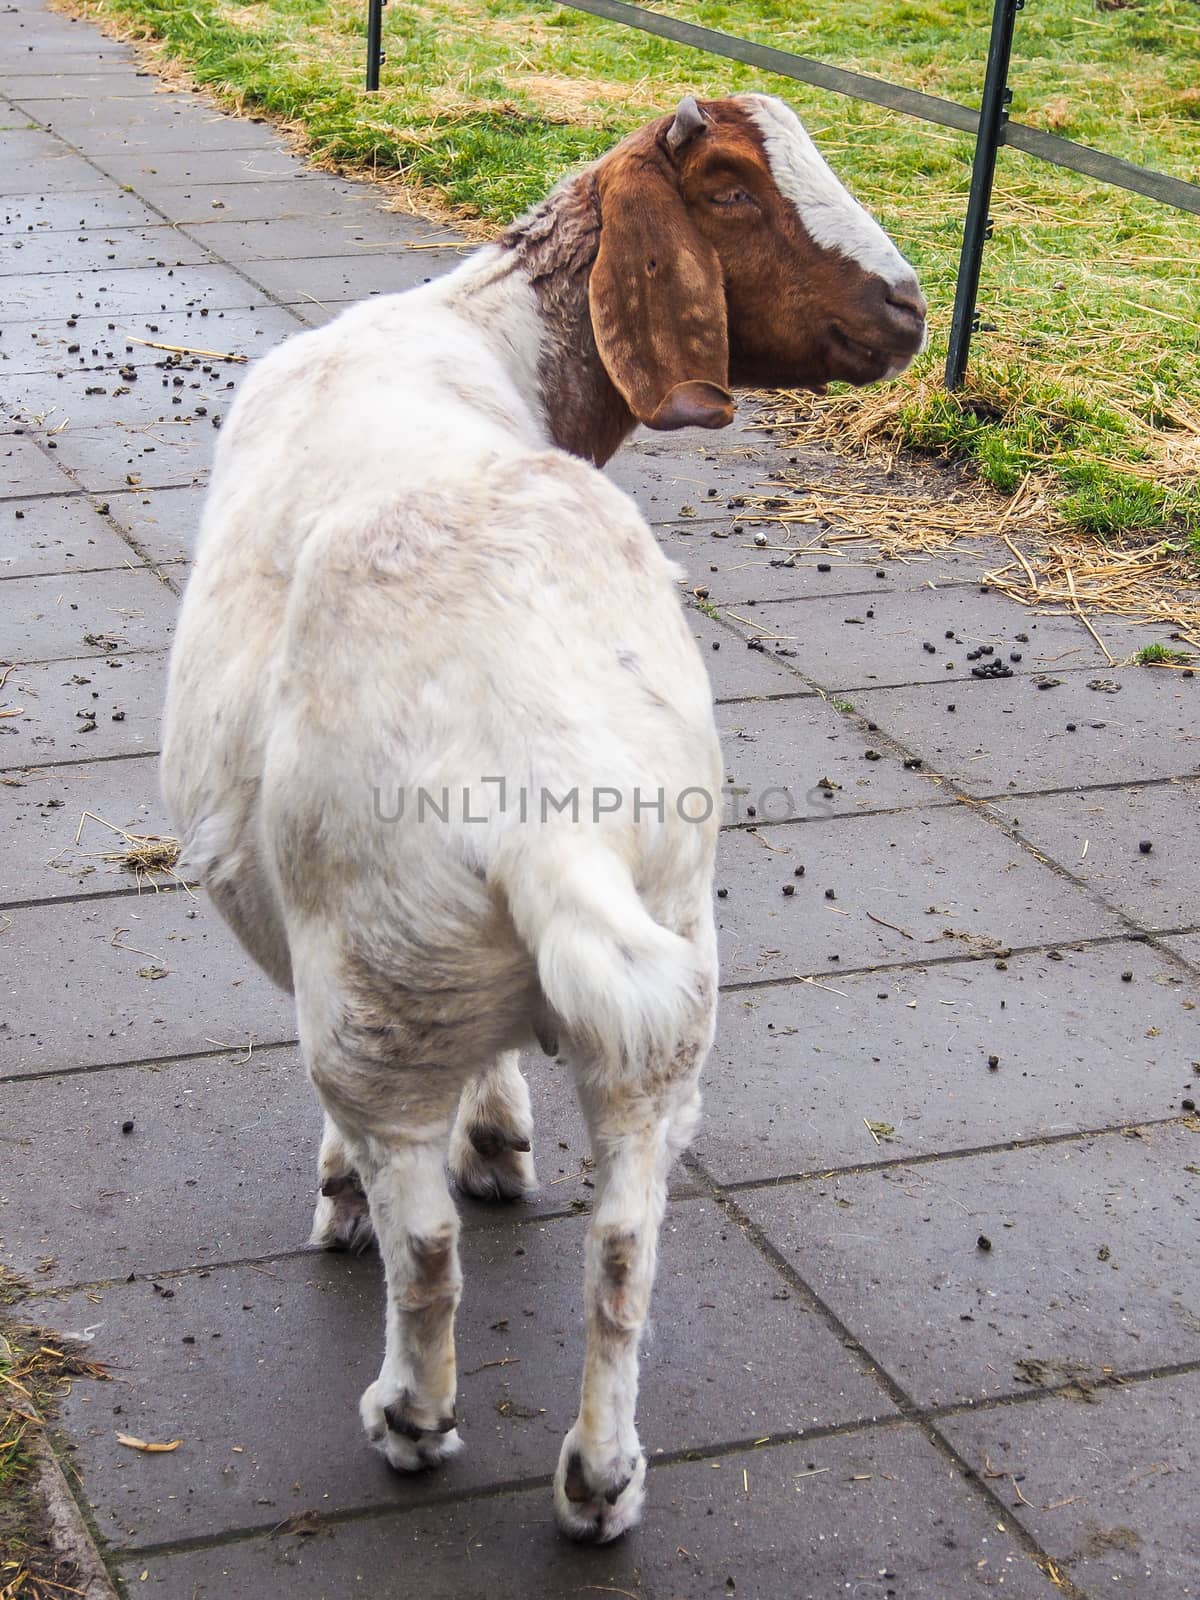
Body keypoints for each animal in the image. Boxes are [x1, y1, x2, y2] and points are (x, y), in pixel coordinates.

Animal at [162, 93, 928, 1542]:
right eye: (732, 190)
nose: (912, 312)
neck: (487, 338)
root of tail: (545, 804)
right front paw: (506, 1135)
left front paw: (407, 1168)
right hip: (670, 982)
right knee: (624, 1247)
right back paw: (601, 1478)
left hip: (377, 994)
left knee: (426, 1247)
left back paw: (410, 1416)